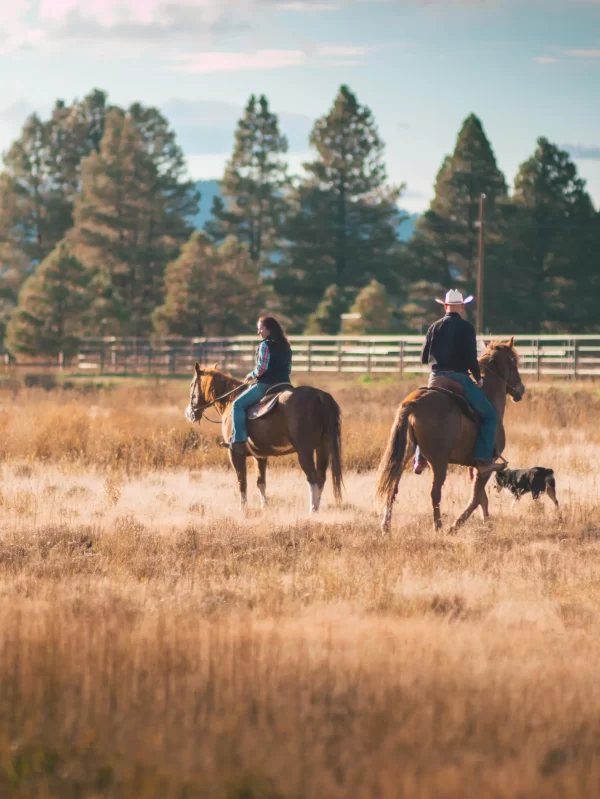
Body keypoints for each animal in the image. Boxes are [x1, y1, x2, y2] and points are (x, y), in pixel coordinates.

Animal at [185, 368, 342, 516]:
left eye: (192, 384)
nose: (189, 413)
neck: (230, 401)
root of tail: (320, 396)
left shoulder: (235, 454)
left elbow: (241, 481)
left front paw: (243, 510)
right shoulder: (260, 456)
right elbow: (261, 482)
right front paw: (264, 507)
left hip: (305, 452)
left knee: (312, 478)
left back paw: (312, 510)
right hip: (322, 448)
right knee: (321, 478)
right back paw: (317, 509)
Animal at [378, 336, 524, 532]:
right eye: (514, 360)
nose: (521, 390)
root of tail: (416, 402)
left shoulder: (473, 466)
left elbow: (481, 498)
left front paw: (486, 523)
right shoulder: (486, 466)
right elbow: (476, 498)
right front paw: (455, 526)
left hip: (404, 456)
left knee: (392, 487)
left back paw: (386, 525)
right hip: (439, 462)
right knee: (435, 493)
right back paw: (439, 527)